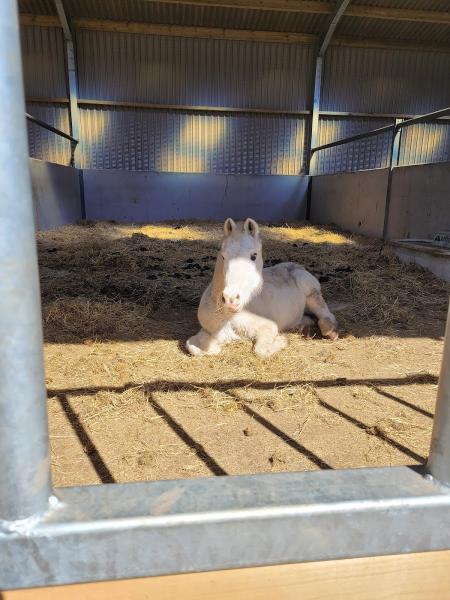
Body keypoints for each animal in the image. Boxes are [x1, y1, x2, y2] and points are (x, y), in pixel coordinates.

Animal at [185, 219, 338, 356]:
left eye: (254, 255)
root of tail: (295, 266)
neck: (226, 314)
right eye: (223, 256)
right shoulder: (210, 330)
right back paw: (304, 327)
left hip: (310, 291)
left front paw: (283, 340)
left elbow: (261, 351)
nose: (231, 299)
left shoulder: (268, 326)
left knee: (324, 312)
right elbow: (192, 346)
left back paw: (330, 331)